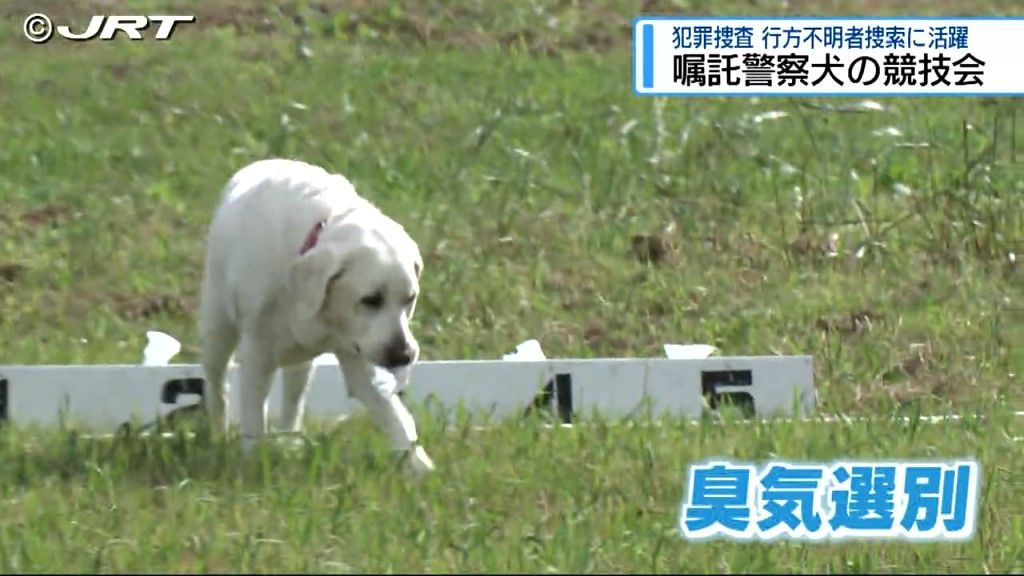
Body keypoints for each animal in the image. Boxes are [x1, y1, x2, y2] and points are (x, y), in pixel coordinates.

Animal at [197, 155, 434, 471]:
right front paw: (253, 463)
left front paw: (419, 466)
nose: (404, 356)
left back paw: (290, 443)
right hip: (217, 326)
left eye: (410, 299)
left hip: (301, 361)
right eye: (371, 300)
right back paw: (219, 434)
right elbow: (253, 415)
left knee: (293, 398)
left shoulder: (358, 352)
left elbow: (394, 414)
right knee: (217, 383)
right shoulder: (257, 353)